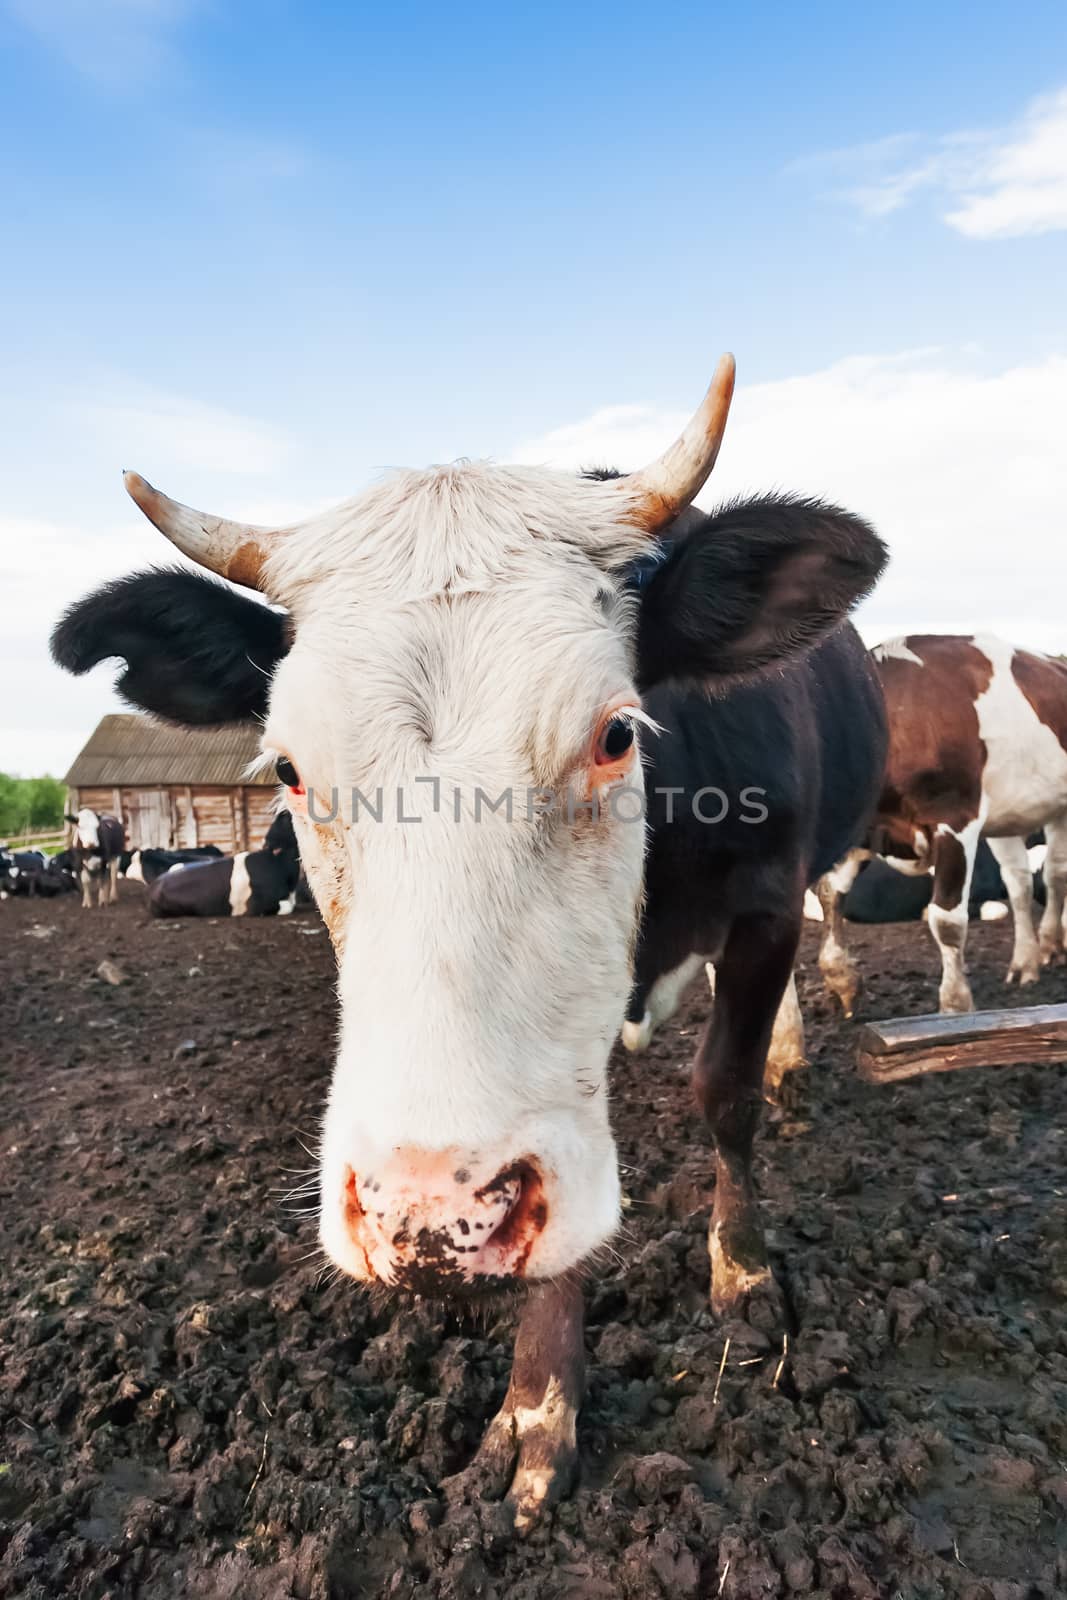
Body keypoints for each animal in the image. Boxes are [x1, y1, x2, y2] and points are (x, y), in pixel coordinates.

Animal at [819, 633, 1067, 1011]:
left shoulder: (955, 820)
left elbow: (947, 920)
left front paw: (955, 1005)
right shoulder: (863, 829)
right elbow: (831, 893)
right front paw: (841, 977)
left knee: (1055, 872)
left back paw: (1052, 944)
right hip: (1009, 814)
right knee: (1022, 882)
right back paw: (1027, 961)